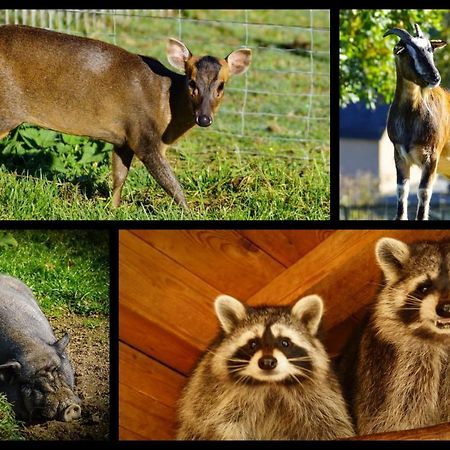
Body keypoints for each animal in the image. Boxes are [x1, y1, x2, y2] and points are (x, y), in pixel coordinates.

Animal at [0, 24, 251, 207]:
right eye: (191, 82)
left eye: (221, 86)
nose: (204, 119)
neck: (166, 105)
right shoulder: (144, 136)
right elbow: (172, 185)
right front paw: (189, 212)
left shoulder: (124, 138)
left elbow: (119, 178)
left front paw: (112, 209)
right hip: (7, 111)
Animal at [176, 292, 356, 440]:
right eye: (253, 344)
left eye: (285, 342)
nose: (267, 362)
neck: (271, 384)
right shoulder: (216, 396)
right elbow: (223, 423)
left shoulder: (321, 396)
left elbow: (329, 423)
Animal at [384, 23, 450, 221]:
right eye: (408, 52)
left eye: (430, 49)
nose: (434, 77)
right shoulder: (399, 155)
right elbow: (401, 190)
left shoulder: (432, 156)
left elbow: (424, 192)